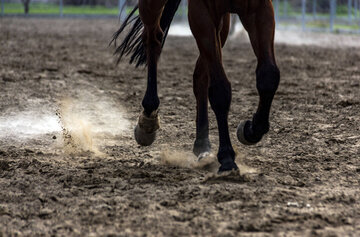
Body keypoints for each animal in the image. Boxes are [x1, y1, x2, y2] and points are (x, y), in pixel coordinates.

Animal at [111, 0, 280, 174]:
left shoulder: (259, 8)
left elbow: (268, 76)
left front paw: (250, 130)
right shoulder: (202, 12)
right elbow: (220, 90)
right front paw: (227, 158)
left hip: (222, 24)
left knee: (200, 76)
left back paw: (202, 145)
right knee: (153, 39)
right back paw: (148, 118)